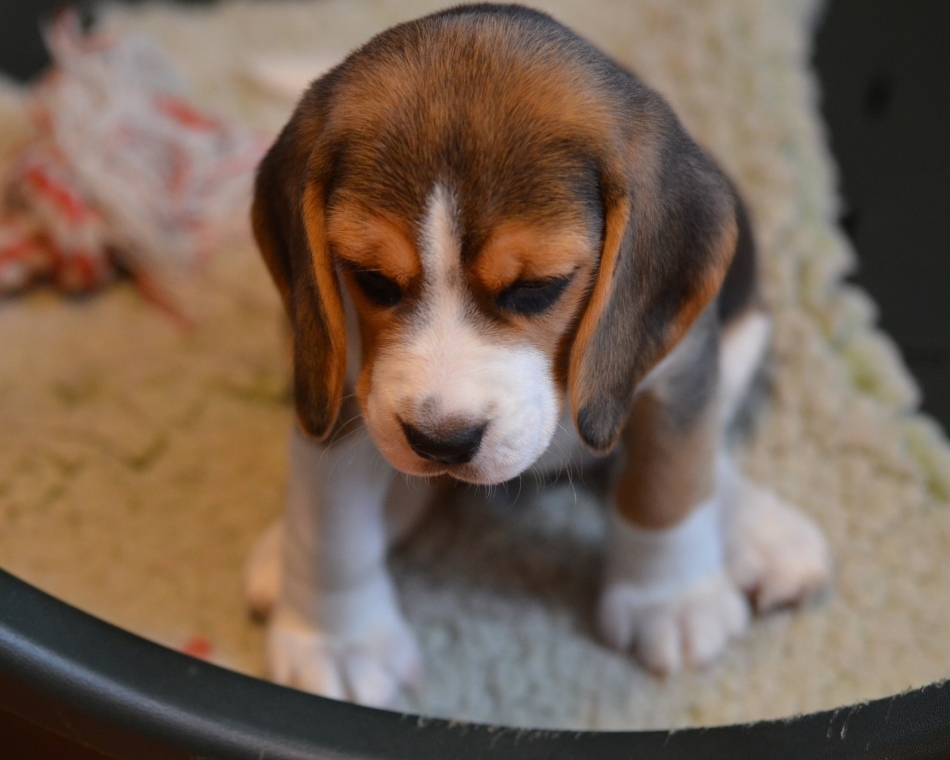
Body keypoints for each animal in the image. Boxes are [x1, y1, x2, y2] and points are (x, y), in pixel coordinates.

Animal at [243, 4, 832, 707]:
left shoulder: (682, 367)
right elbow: (333, 530)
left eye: (537, 288)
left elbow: (668, 481)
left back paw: (762, 532)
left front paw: (671, 602)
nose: (442, 442)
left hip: (745, 332)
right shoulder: (339, 388)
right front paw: (339, 643)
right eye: (371, 281)